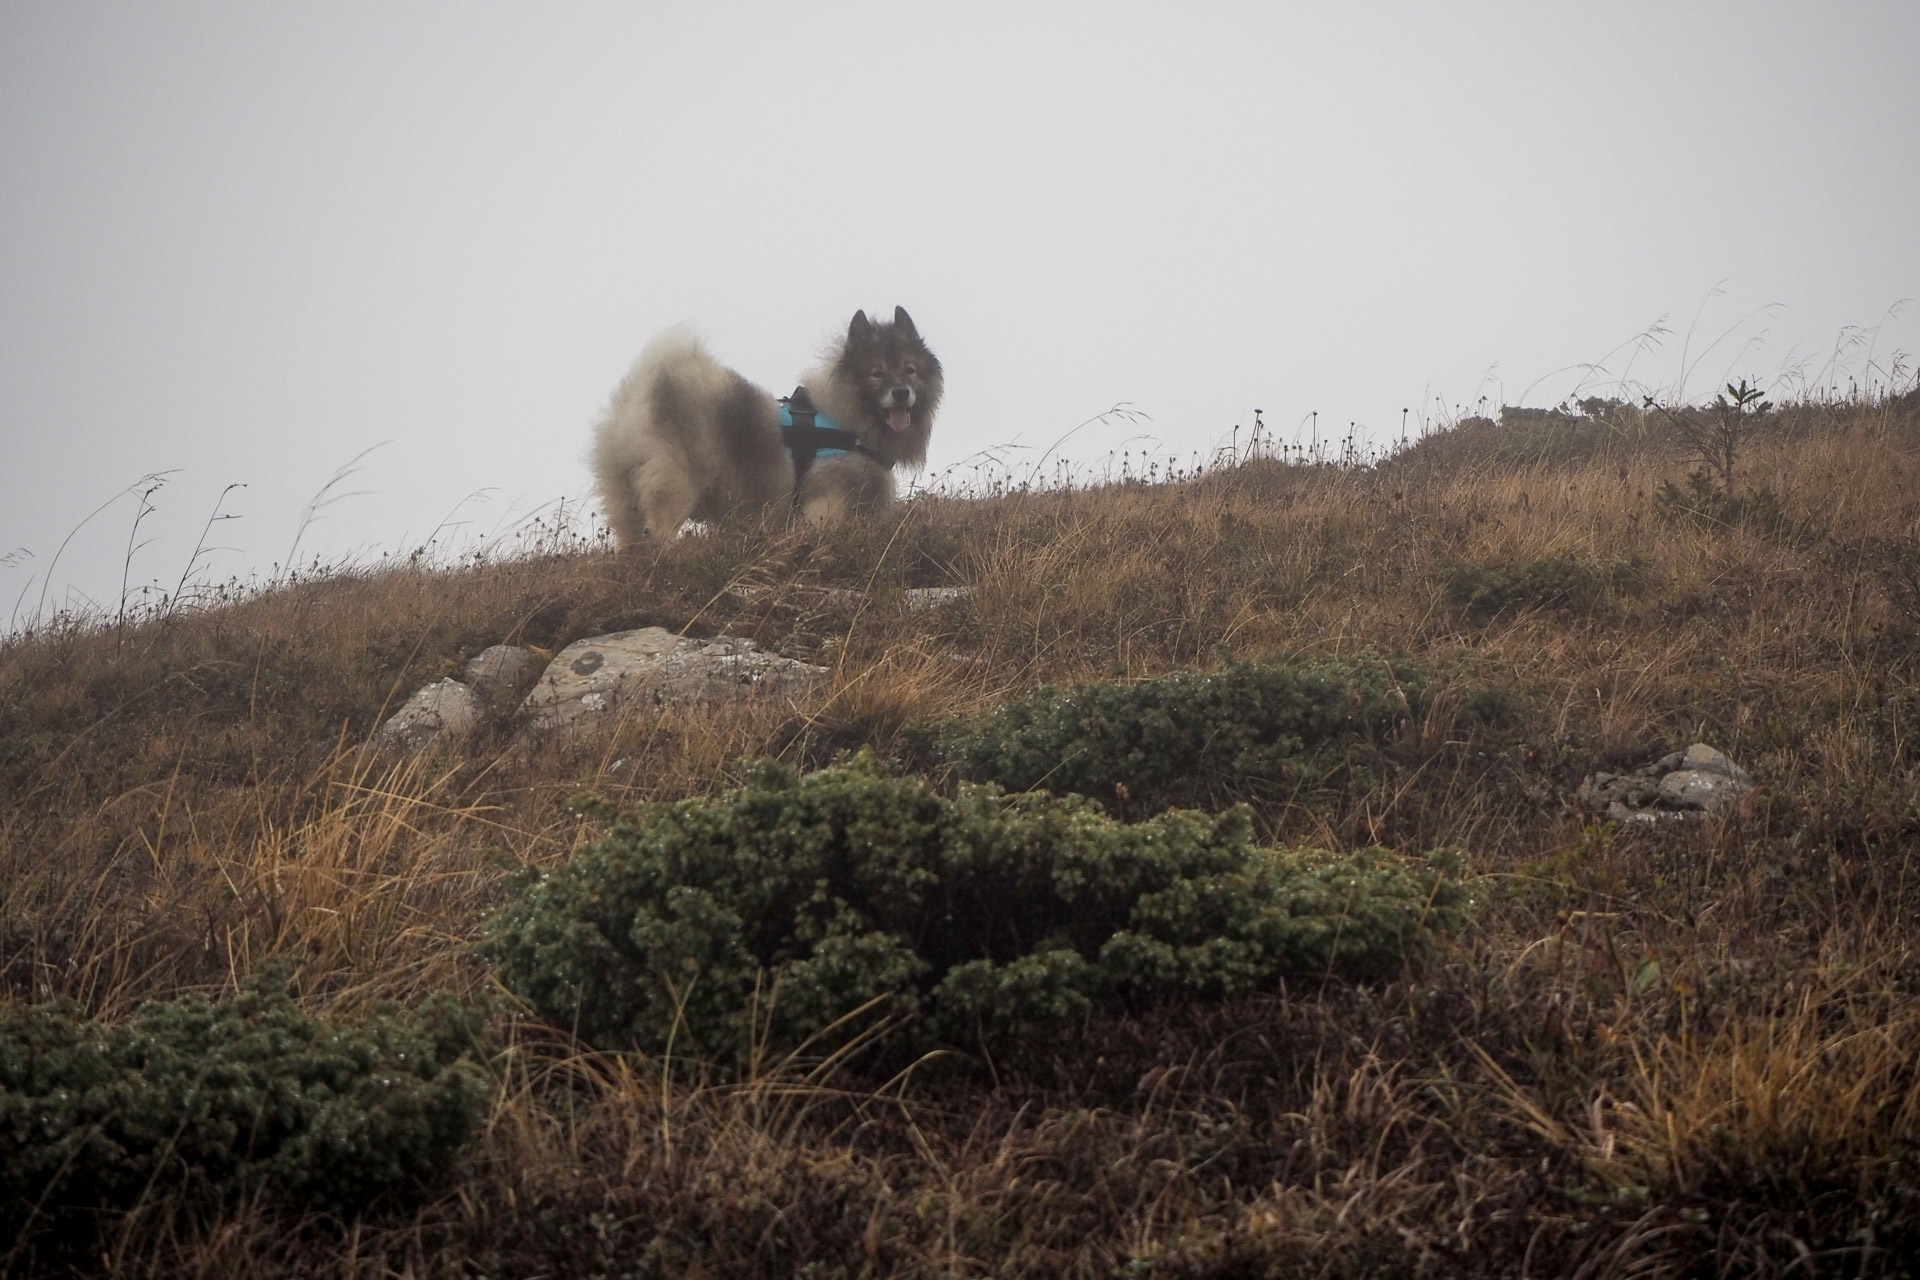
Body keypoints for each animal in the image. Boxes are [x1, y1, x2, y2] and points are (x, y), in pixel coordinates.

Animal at [587, 307, 940, 545]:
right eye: (876, 373)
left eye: (910, 370)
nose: (901, 392)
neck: (847, 418)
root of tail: (643, 392)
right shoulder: (827, 505)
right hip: (675, 485)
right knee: (658, 533)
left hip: (625, 500)